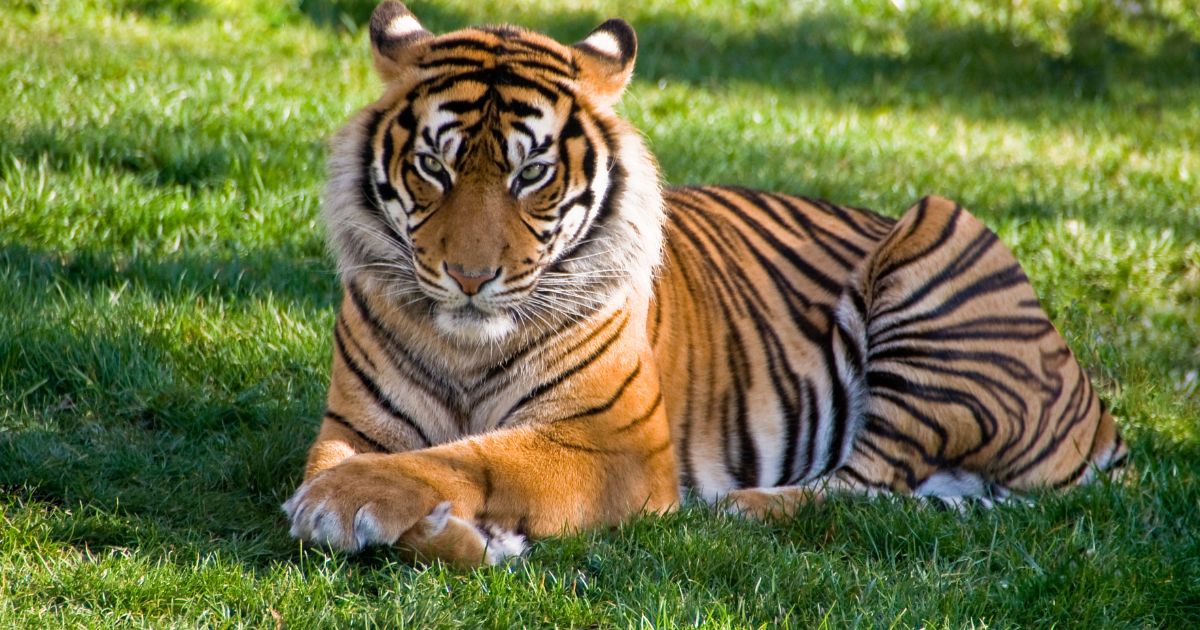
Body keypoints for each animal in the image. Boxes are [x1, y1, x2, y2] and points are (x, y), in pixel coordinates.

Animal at [282, 1, 1127, 566]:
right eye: (434, 166)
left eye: (531, 174)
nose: (468, 277)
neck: (466, 347)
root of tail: (1098, 413)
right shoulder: (353, 424)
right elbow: (373, 463)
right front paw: (451, 533)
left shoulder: (614, 444)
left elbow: (472, 457)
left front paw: (346, 505)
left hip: (939, 231)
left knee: (869, 482)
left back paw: (742, 508)